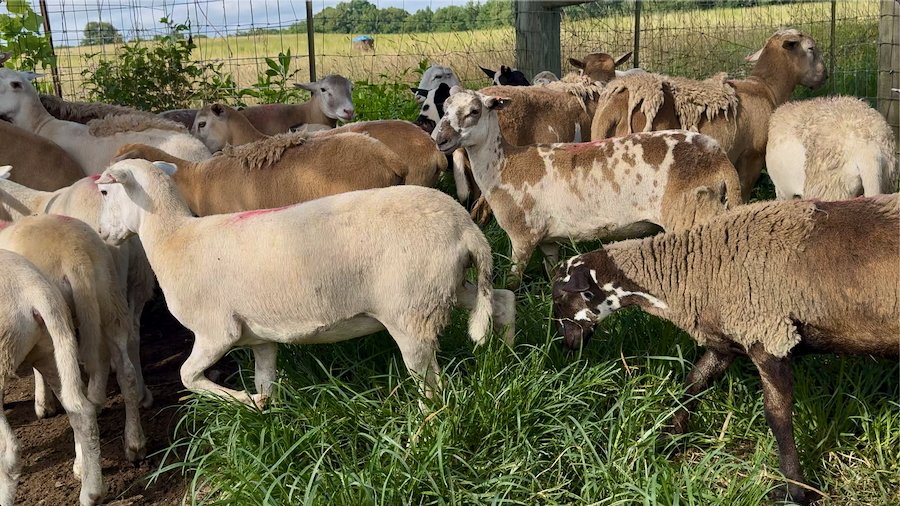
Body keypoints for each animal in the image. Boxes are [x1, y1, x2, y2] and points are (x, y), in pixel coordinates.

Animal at [95, 159, 516, 409]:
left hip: (412, 312)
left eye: (103, 191)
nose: (100, 234)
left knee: (435, 389)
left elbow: (186, 376)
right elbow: (265, 379)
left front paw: (245, 401)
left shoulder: (216, 332)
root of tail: (466, 228)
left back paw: (423, 433)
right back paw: (508, 358)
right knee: (503, 300)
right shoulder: (259, 337)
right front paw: (266, 413)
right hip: (446, 289)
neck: (173, 238)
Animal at [433, 88, 743, 288]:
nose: (440, 139)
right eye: (444, 110)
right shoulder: (547, 240)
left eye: (474, 111)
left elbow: (512, 282)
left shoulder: (523, 236)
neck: (504, 165)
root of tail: (720, 159)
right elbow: (552, 272)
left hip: (693, 214)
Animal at [552, 194, 900, 504]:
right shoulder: (728, 344)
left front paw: (795, 490)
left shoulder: (768, 335)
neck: (688, 271)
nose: (564, 345)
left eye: (559, 297)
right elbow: (694, 382)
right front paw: (668, 440)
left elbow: (777, 416)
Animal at [591, 29, 827, 200]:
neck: (766, 87)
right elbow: (743, 191)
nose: (825, 75)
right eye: (811, 48)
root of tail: (615, 102)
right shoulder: (752, 156)